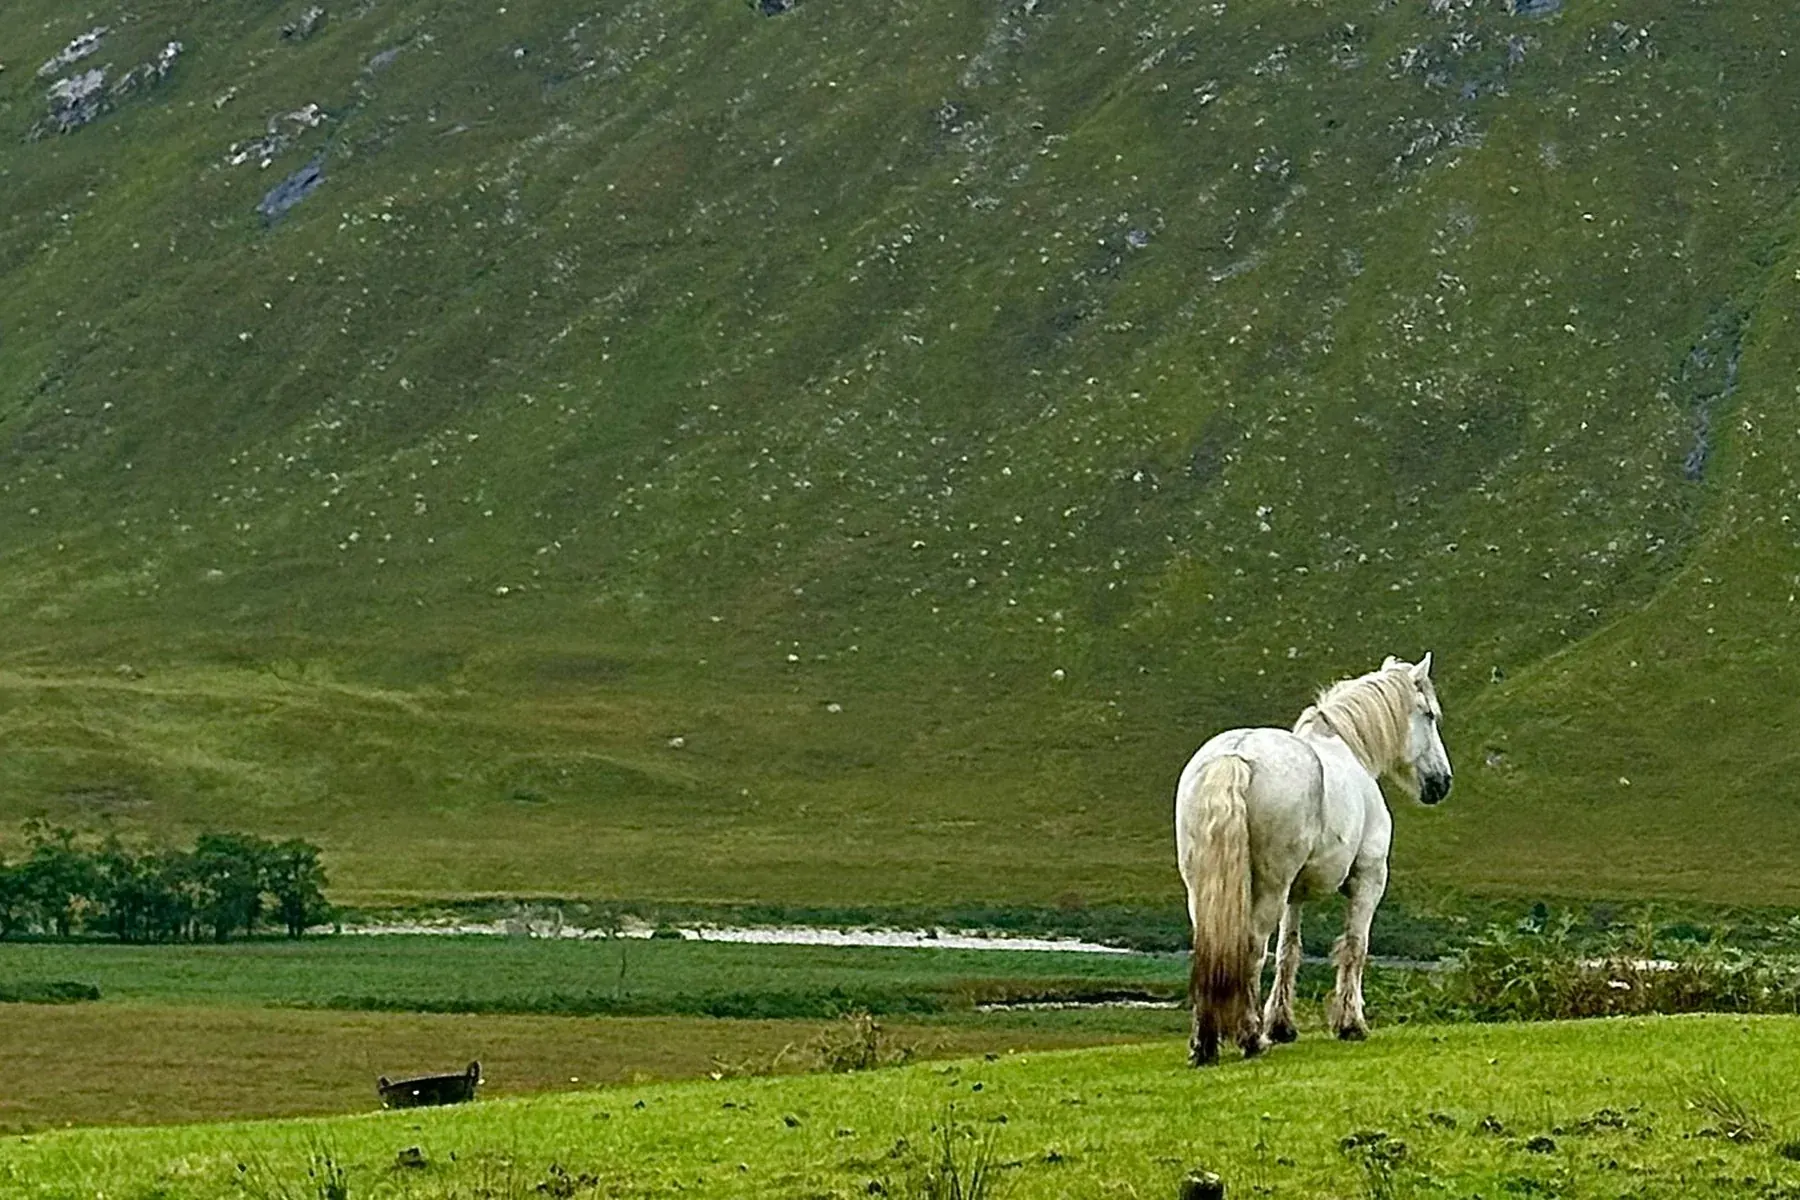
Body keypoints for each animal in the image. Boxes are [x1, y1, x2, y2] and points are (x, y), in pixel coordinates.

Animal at [1174, 653, 1453, 1065]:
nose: (1442, 782)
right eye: (1430, 715)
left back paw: (1205, 1044)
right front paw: (1351, 1024)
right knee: (1252, 948)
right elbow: (1354, 947)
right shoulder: (1369, 878)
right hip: (1270, 888)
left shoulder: (1295, 896)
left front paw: (1282, 1025)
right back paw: (1251, 1038)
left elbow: (1288, 953)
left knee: (1212, 946)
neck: (1349, 749)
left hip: (1205, 888)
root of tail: (1235, 755)